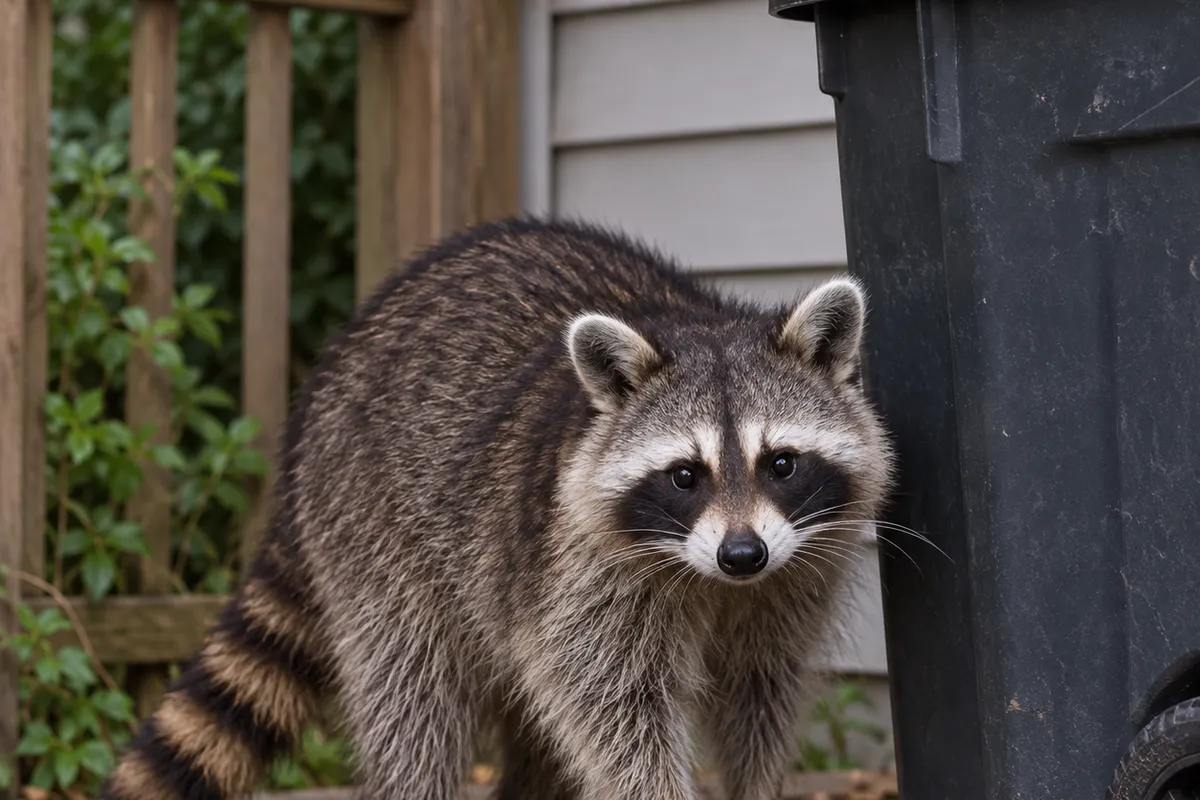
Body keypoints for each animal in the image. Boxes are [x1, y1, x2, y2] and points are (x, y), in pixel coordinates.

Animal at [97, 217, 895, 800]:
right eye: (684, 476)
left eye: (780, 463)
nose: (742, 554)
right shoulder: (581, 573)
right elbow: (611, 707)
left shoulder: (791, 579)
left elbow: (760, 695)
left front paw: (758, 785)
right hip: (373, 531)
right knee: (413, 700)